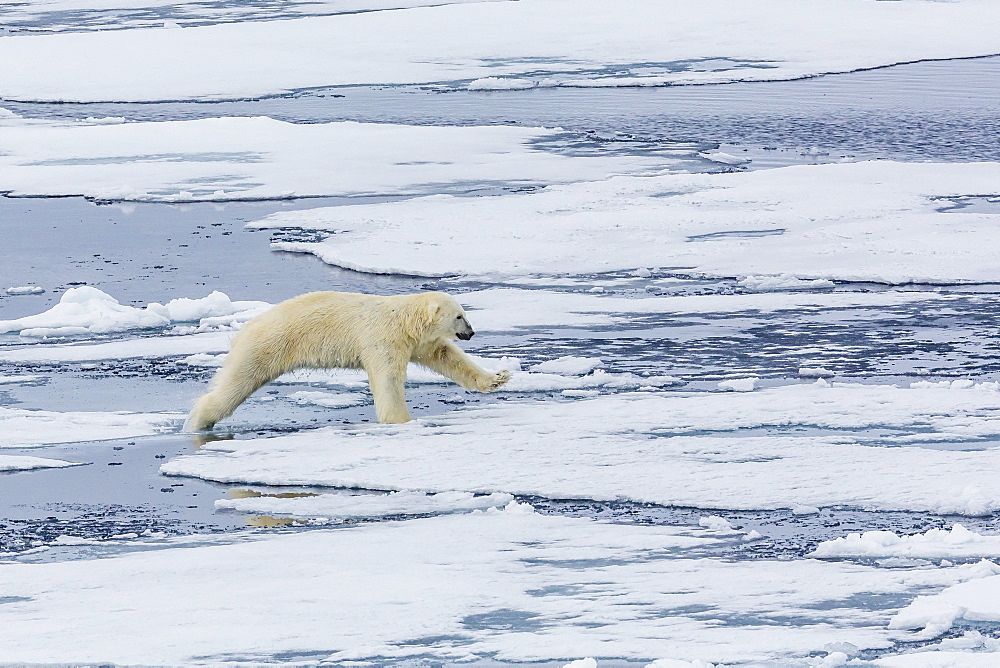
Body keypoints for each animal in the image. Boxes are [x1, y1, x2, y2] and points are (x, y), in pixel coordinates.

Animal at [187, 290, 512, 430]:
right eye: (459, 316)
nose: (471, 332)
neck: (404, 319)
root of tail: (247, 327)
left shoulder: (419, 342)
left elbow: (449, 358)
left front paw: (498, 378)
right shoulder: (382, 337)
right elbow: (388, 378)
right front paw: (401, 419)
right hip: (266, 347)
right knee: (236, 384)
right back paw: (198, 421)